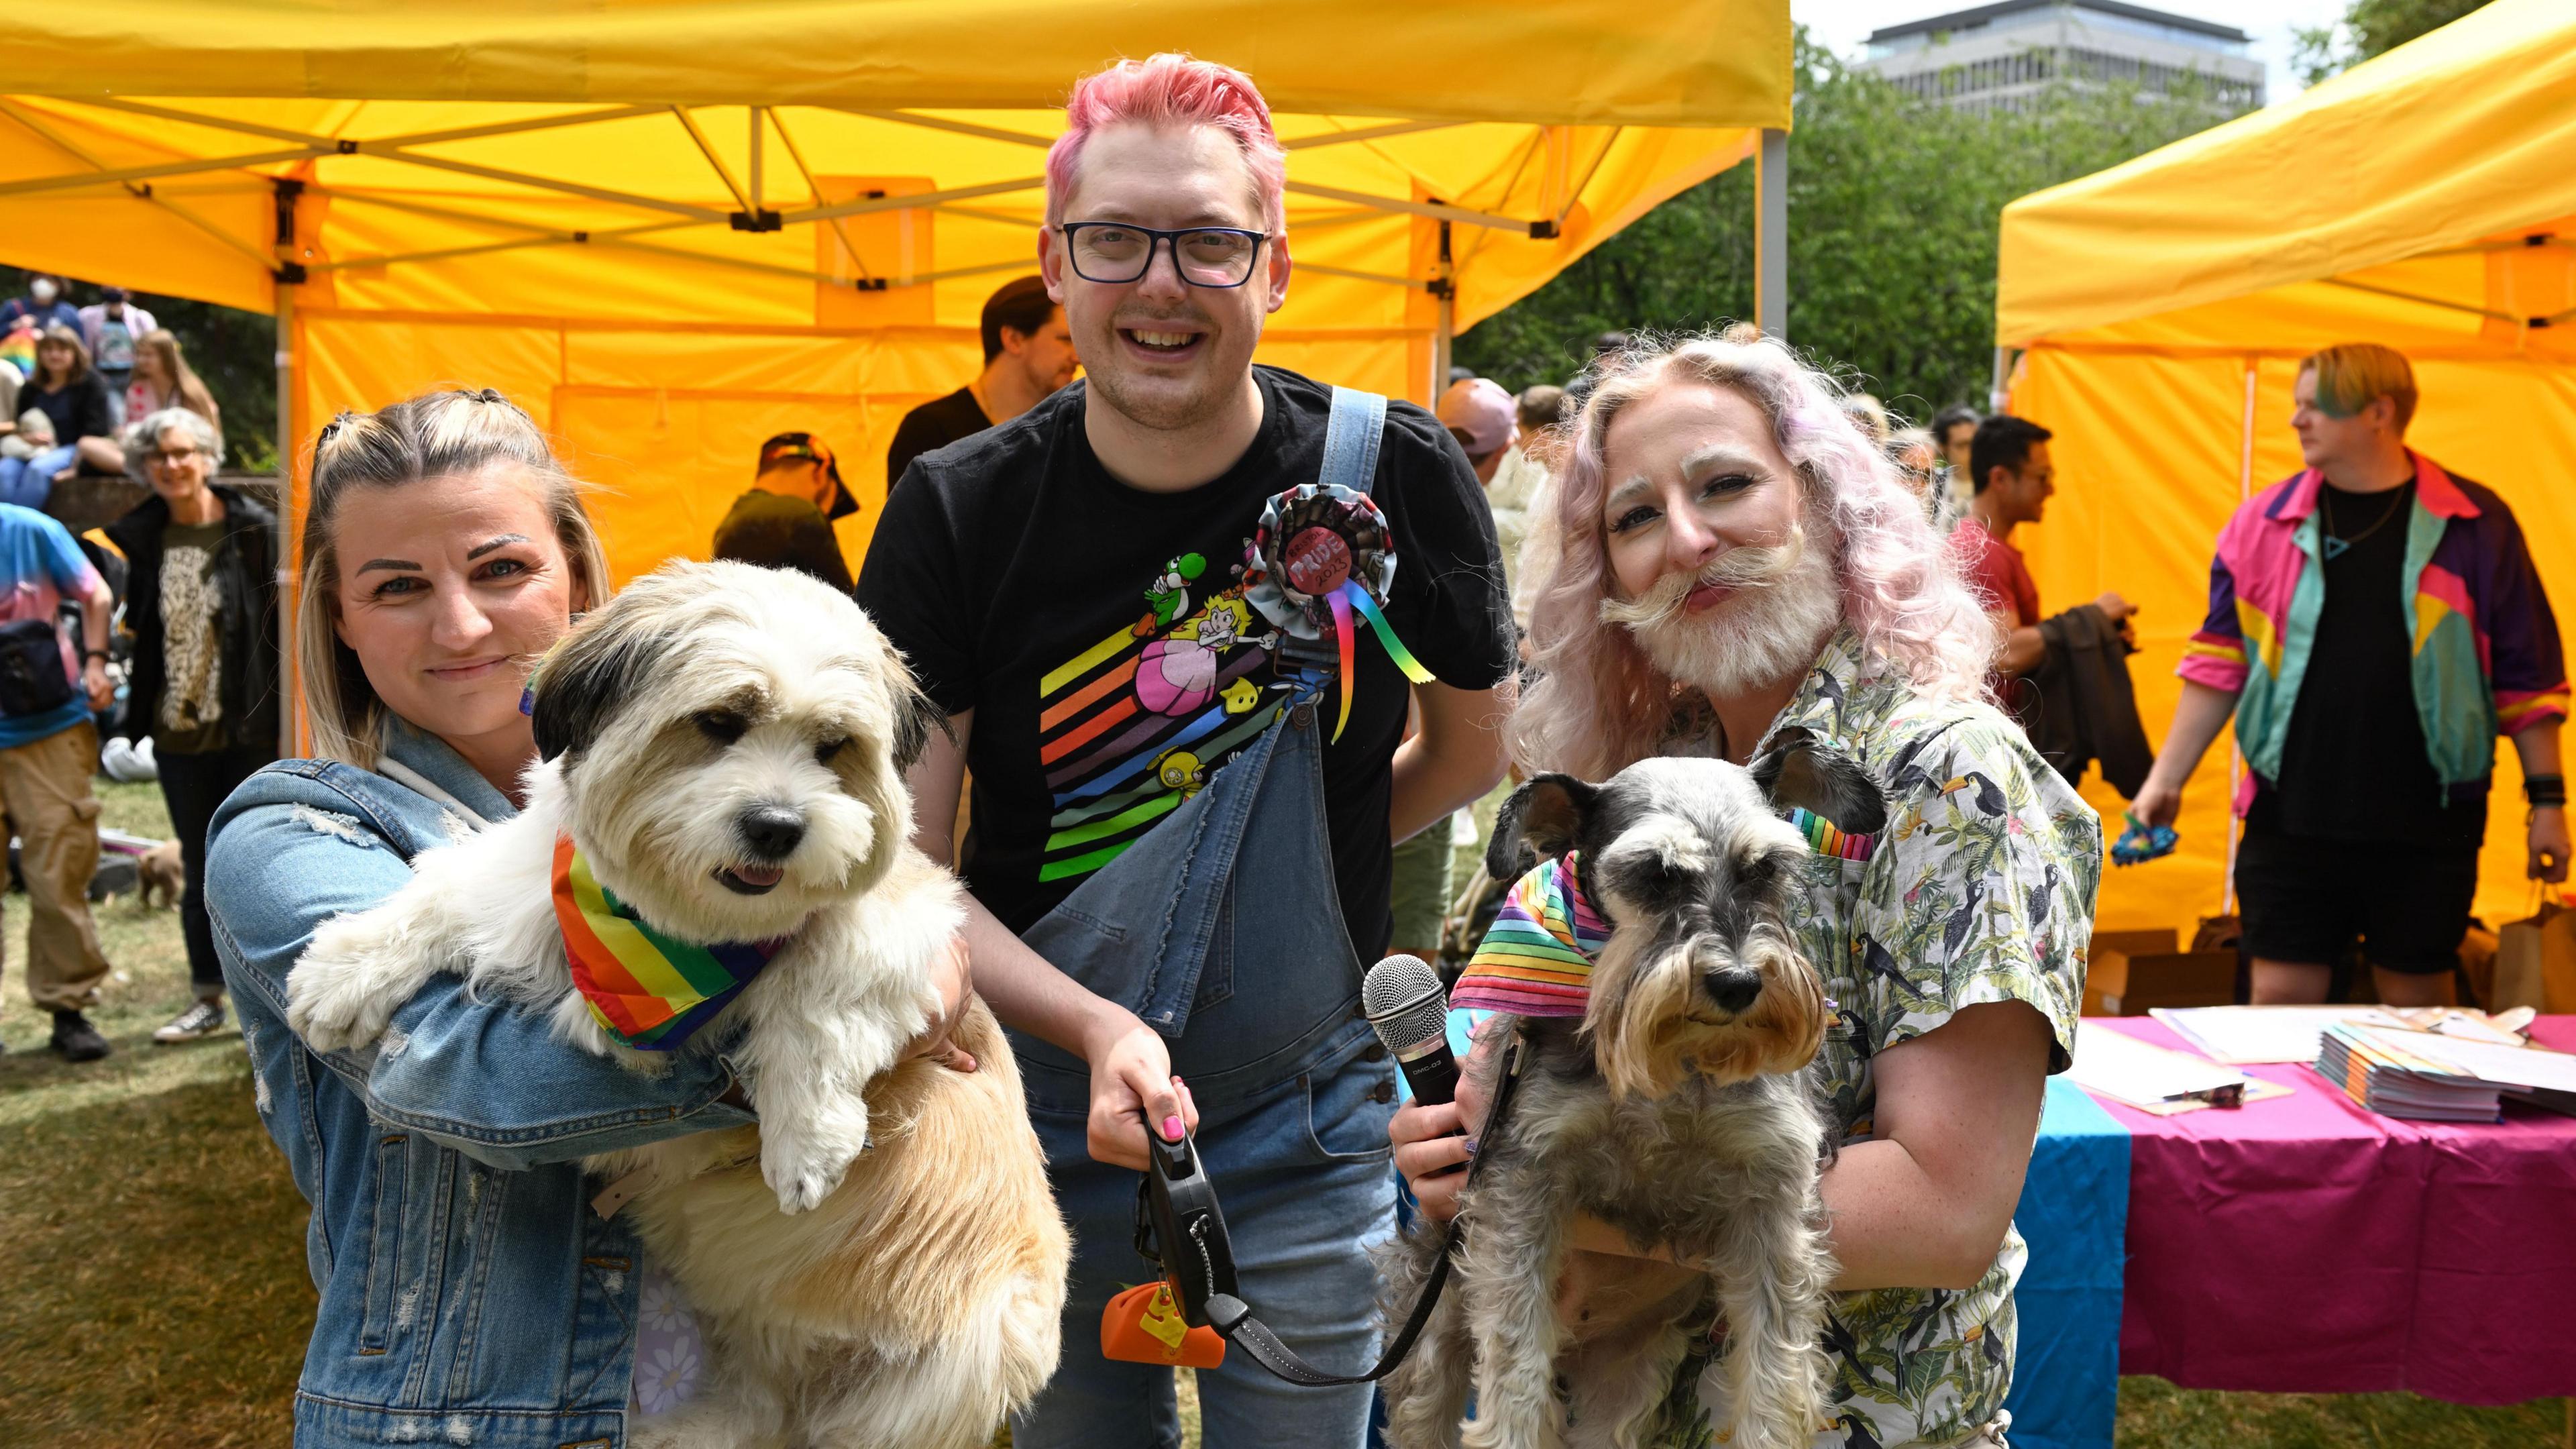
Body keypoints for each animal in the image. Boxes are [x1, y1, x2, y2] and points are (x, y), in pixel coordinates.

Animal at [290, 559, 1066, 1433]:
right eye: (720, 722)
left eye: (832, 747)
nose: (778, 826)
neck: (683, 937)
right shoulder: (527, 885)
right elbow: (452, 890)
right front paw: (343, 968)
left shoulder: (911, 913)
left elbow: (825, 978)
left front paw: (806, 1139)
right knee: (759, 1405)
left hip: (950, 1367)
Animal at [1381, 727, 1885, 1444]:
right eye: (1657, 874)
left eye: (1764, 869)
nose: (1738, 983)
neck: (1676, 1071)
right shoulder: (1523, 1183)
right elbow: (1513, 1355)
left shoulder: (1773, 1193)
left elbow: (1775, 1368)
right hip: (1435, 1321)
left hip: (1626, 1378)